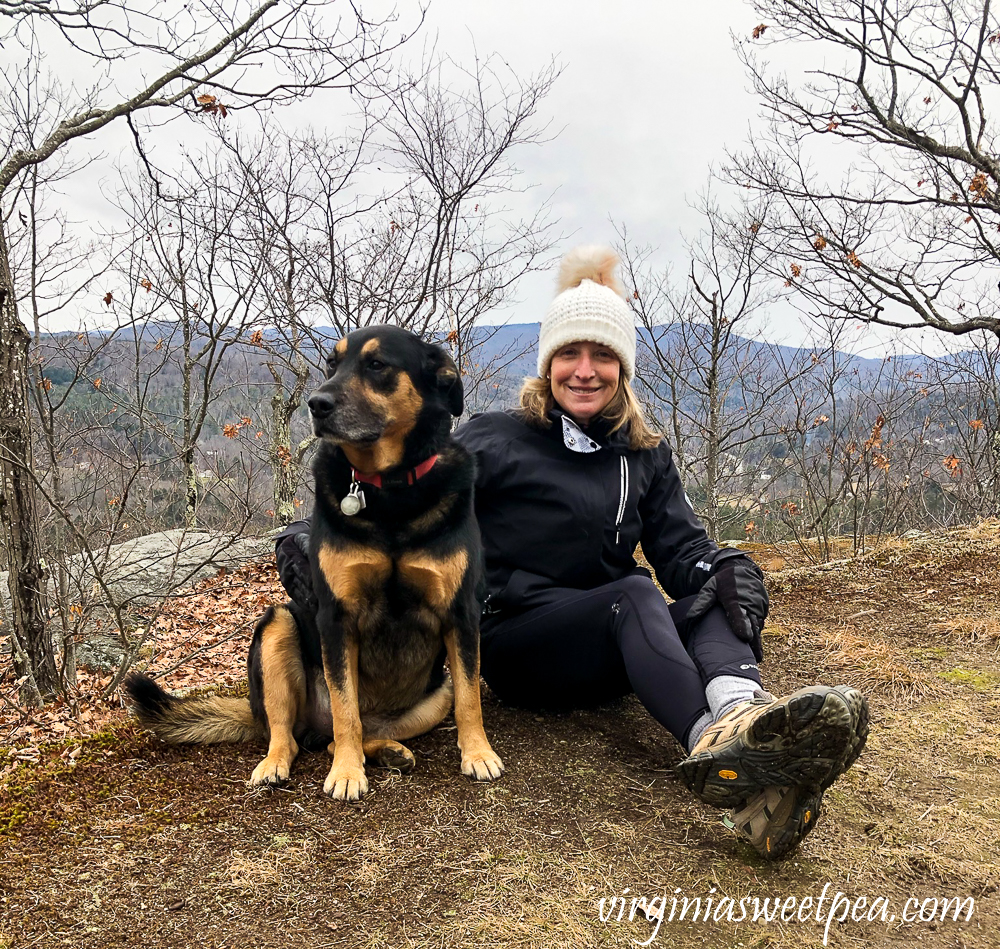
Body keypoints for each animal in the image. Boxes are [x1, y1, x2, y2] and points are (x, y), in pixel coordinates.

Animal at [129, 326, 504, 800]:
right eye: (331, 364)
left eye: (377, 364)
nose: (317, 404)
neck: (389, 491)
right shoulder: (336, 617)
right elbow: (345, 708)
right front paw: (346, 773)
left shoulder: (461, 614)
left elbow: (471, 698)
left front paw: (478, 753)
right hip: (277, 627)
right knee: (297, 734)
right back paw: (279, 763)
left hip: (435, 697)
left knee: (355, 733)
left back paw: (388, 750)